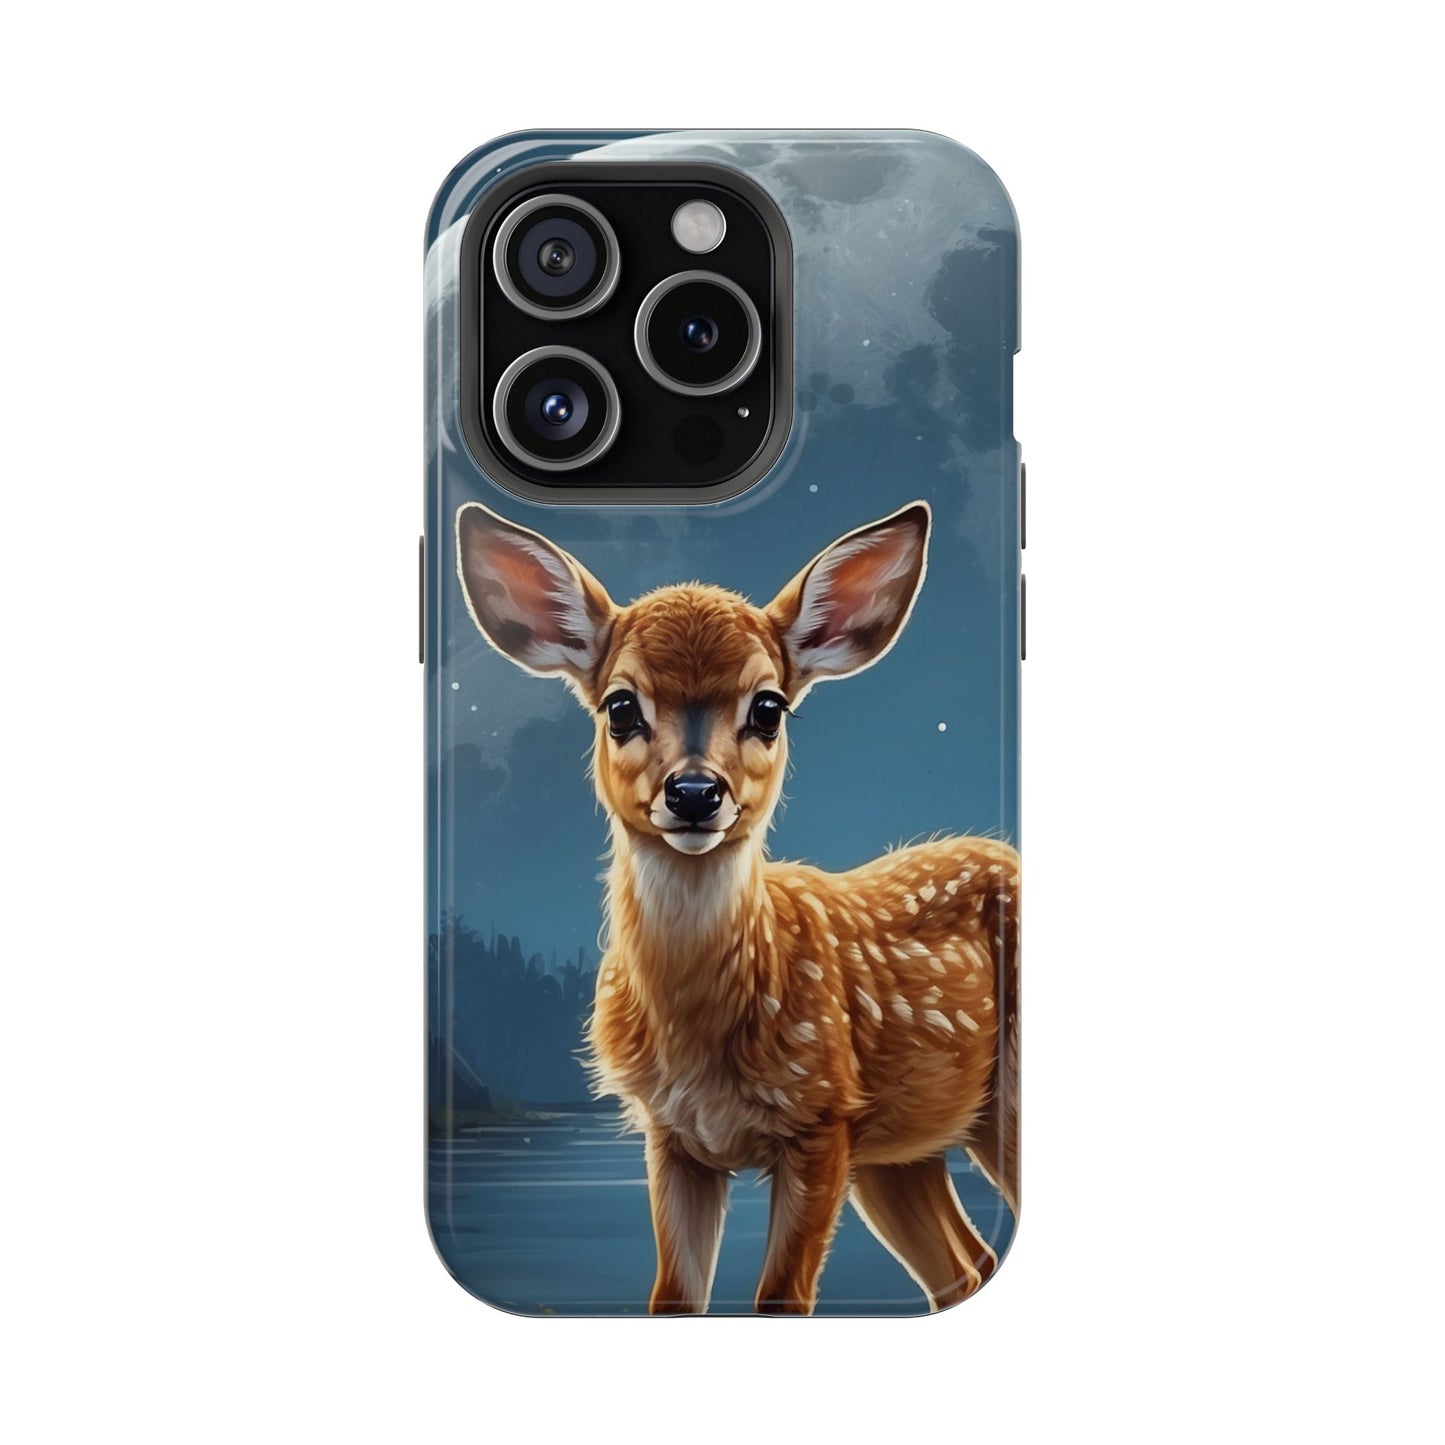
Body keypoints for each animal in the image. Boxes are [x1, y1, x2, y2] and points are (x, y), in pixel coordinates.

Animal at [456, 498, 1019, 1315]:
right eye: (620, 706)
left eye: (769, 707)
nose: (695, 792)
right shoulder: (672, 1136)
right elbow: (673, 1296)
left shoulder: (820, 1119)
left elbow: (780, 1298)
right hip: (899, 1149)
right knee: (966, 1266)